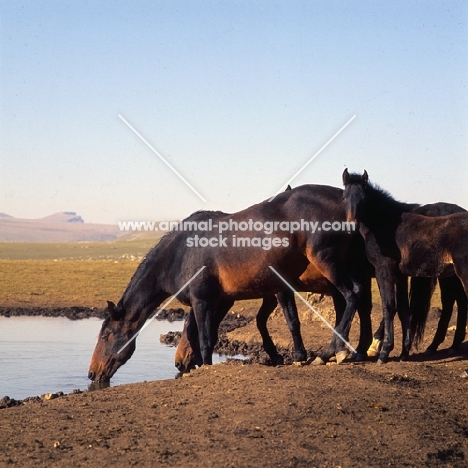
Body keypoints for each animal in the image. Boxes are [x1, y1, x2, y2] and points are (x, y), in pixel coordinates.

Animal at [89, 183, 372, 380]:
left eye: (107, 335)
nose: (92, 373)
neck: (180, 253)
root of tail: (345, 201)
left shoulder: (203, 300)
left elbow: (204, 338)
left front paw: (204, 366)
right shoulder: (222, 299)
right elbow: (206, 334)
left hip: (328, 263)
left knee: (353, 295)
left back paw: (335, 350)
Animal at [342, 170, 468, 364]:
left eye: (363, 199)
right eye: (344, 198)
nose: (351, 226)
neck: (387, 224)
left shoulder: (384, 271)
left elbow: (388, 307)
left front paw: (384, 352)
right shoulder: (400, 275)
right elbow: (403, 309)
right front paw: (404, 352)